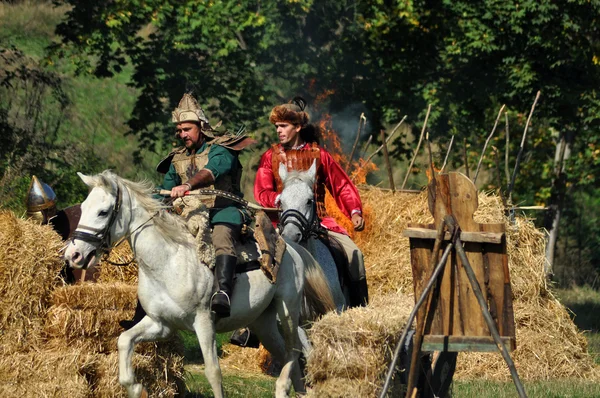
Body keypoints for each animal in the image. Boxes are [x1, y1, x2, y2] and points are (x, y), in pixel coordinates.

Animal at [63, 171, 336, 398]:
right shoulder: (160, 324)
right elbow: (124, 341)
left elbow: (213, 372)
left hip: (287, 312)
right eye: (83, 208)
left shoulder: (204, 323)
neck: (168, 261)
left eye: (103, 212)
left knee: (293, 351)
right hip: (263, 322)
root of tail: (292, 249)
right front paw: (137, 389)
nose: (73, 255)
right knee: (287, 355)